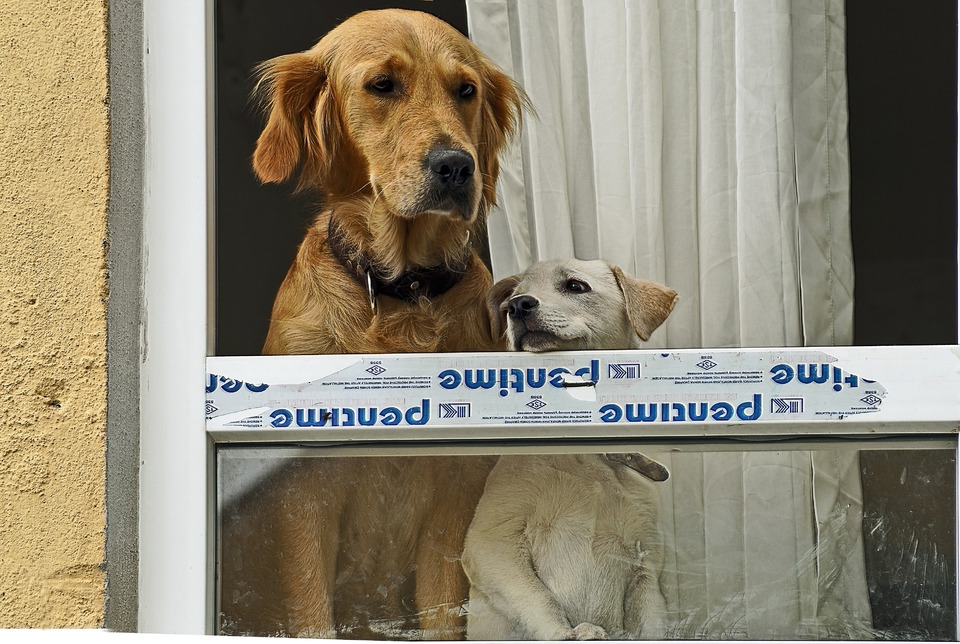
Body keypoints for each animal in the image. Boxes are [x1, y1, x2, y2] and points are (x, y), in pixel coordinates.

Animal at [219, 8, 524, 640]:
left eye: (466, 91)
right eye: (383, 85)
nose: (457, 166)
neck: (401, 288)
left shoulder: (453, 496)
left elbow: (442, 612)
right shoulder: (302, 494)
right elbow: (313, 612)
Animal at [464, 258, 676, 640]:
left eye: (576, 286)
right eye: (511, 301)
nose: (518, 306)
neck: (586, 454)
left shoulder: (646, 570)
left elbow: (652, 624)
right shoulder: (492, 543)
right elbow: (539, 599)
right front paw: (570, 633)